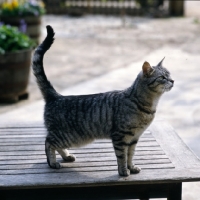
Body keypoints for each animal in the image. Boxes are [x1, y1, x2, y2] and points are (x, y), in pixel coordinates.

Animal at [32, 25, 173, 177]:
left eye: (170, 75)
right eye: (162, 77)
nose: (173, 81)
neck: (147, 104)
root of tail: (56, 96)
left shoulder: (133, 139)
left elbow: (130, 155)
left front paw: (132, 167)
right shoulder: (120, 137)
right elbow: (122, 157)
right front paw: (124, 171)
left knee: (55, 144)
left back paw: (67, 156)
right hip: (70, 136)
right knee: (48, 142)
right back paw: (52, 163)